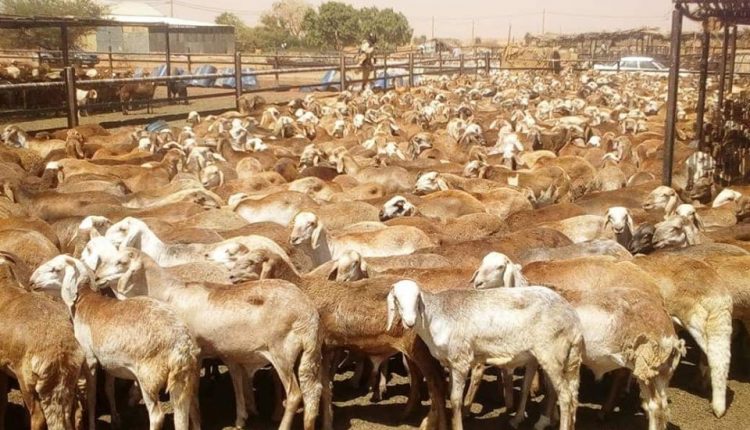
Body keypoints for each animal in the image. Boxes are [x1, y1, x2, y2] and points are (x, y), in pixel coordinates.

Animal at [30, 255, 201, 430]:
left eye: (55, 269)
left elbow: (91, 397)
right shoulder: (110, 362)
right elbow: (108, 389)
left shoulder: (90, 359)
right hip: (184, 376)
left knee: (157, 416)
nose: (31, 282)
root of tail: (181, 344)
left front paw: (92, 425)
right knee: (187, 409)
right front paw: (115, 419)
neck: (83, 302)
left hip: (149, 377)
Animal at [386, 279, 583, 430]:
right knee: (563, 394)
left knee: (565, 397)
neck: (434, 318)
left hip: (551, 354)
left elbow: (455, 400)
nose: (410, 322)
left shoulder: (460, 360)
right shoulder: (450, 362)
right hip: (554, 357)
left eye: (416, 298)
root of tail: (573, 319)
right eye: (397, 299)